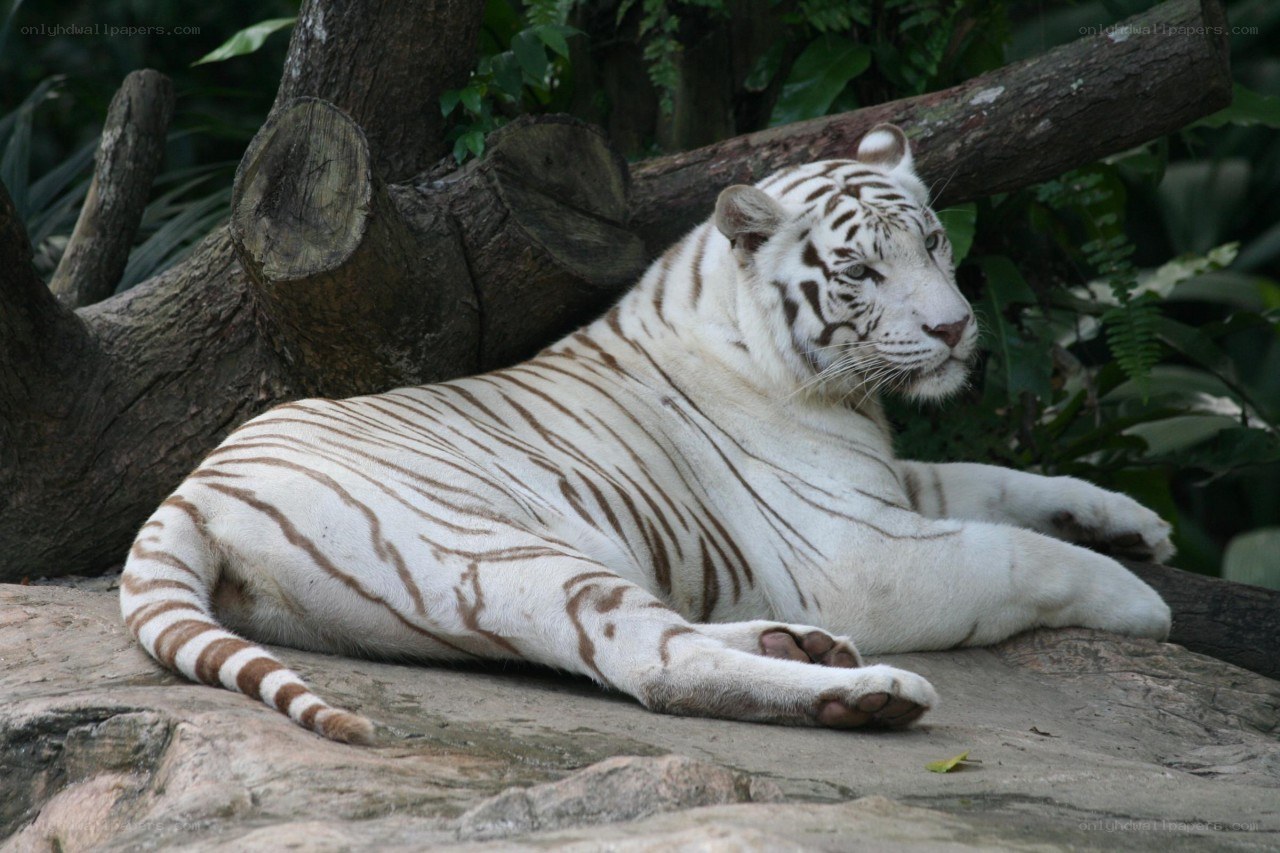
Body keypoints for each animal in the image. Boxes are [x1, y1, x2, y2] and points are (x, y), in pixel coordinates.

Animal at [120, 124, 1174, 744]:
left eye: (934, 242)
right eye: (861, 274)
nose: (956, 328)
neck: (840, 394)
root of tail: (188, 489)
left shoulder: (889, 482)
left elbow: (1002, 484)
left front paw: (1135, 523)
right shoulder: (857, 551)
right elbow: (1018, 555)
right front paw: (1139, 600)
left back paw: (804, 646)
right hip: (500, 552)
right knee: (653, 662)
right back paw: (865, 693)